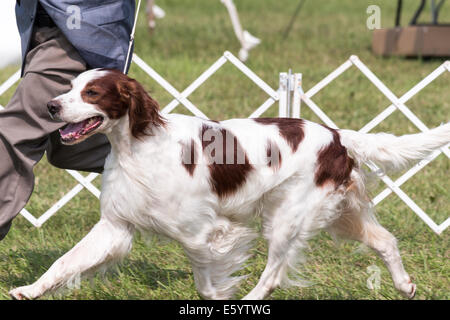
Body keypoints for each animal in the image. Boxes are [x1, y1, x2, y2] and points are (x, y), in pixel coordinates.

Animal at [10, 68, 450, 300]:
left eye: (92, 92)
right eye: (69, 87)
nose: (51, 105)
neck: (138, 144)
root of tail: (337, 136)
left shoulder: (204, 232)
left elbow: (208, 284)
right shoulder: (116, 226)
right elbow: (65, 262)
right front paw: (28, 290)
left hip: (286, 219)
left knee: (272, 273)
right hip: (340, 214)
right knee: (385, 241)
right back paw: (405, 284)